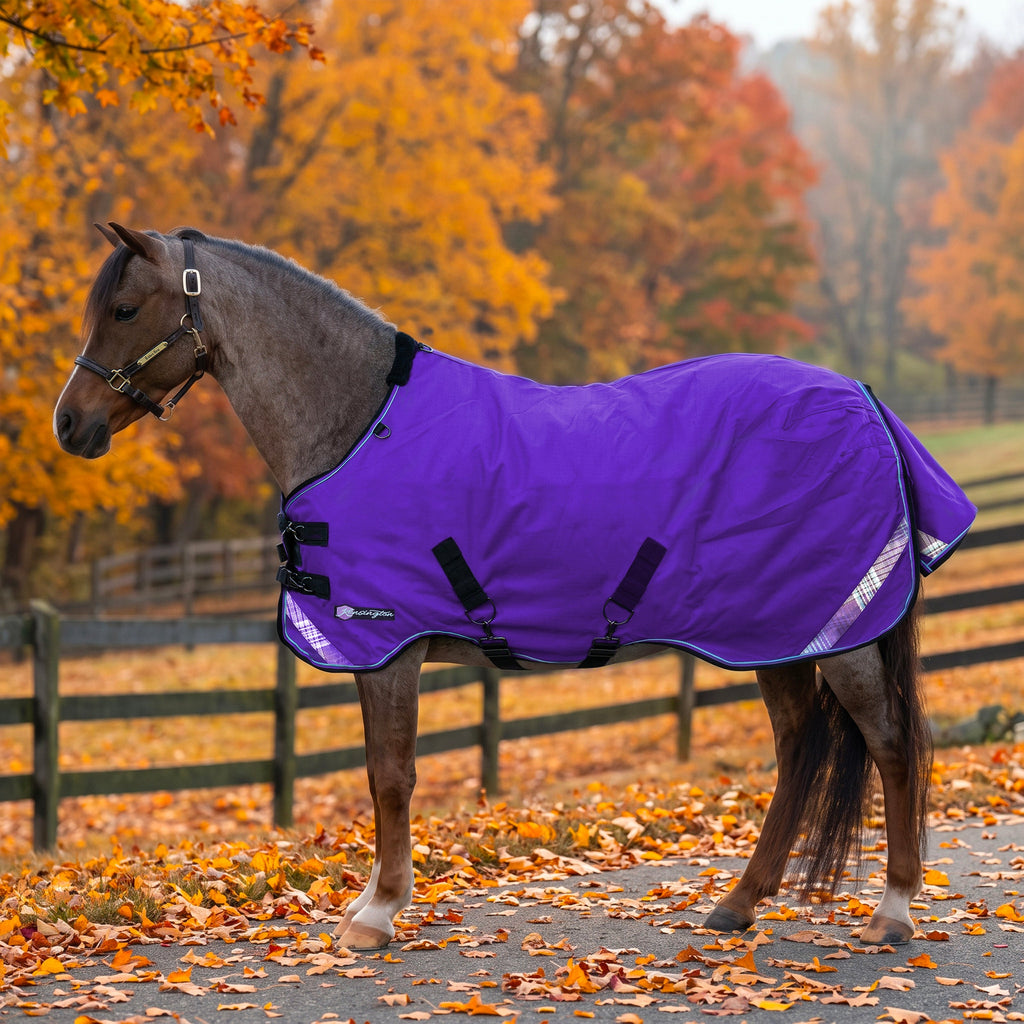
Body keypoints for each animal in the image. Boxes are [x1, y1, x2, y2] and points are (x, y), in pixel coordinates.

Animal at [54, 223, 975, 951]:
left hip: (840, 634)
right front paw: (371, 903)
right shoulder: (378, 654)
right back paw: (739, 904)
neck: (356, 424)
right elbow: (379, 774)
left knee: (891, 746)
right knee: (798, 748)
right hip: (777, 635)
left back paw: (893, 911)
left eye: (125, 309)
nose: (70, 424)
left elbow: (390, 776)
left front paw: (377, 915)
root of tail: (864, 400)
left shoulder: (386, 644)